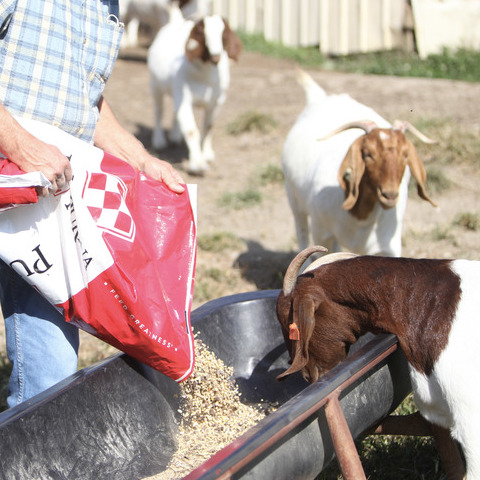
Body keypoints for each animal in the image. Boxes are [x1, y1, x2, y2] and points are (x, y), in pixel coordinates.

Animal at [147, 2, 244, 175]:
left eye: (224, 33)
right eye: (201, 32)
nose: (215, 57)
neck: (205, 77)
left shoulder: (217, 101)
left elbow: (208, 126)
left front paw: (207, 154)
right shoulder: (184, 99)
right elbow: (192, 130)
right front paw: (197, 165)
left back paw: (175, 136)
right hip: (155, 85)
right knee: (159, 111)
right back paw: (159, 141)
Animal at [282, 70, 436, 256]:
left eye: (406, 154)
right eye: (368, 154)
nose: (389, 195)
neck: (359, 218)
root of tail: (321, 98)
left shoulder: (388, 245)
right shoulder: (321, 232)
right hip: (294, 200)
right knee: (302, 233)